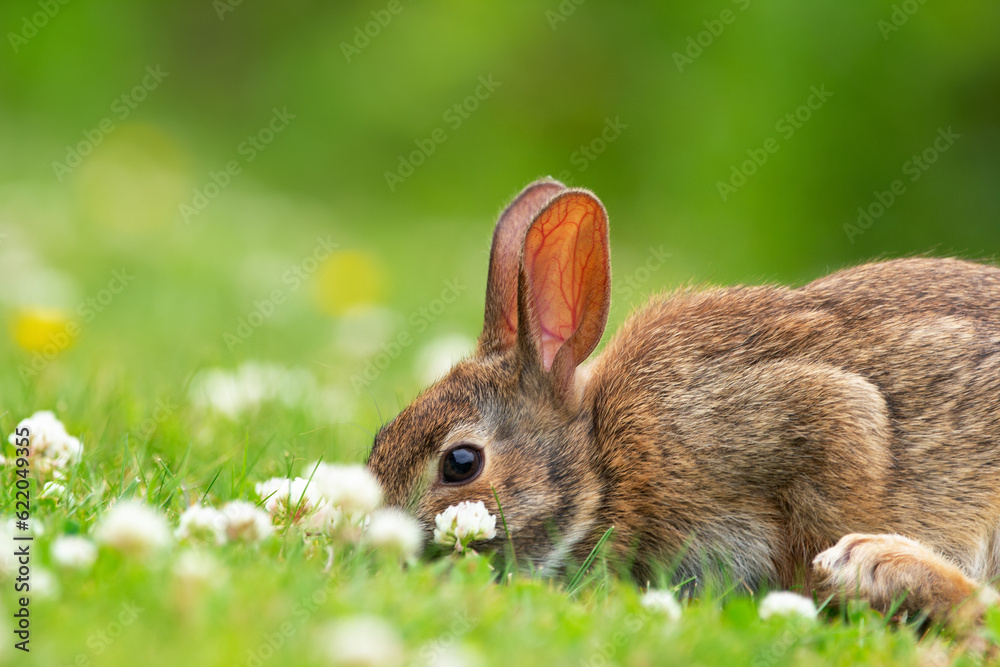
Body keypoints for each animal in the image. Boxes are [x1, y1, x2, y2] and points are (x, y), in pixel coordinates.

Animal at [366, 178, 1000, 623]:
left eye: (461, 463)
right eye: (378, 438)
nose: (378, 545)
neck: (606, 461)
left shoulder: (823, 418)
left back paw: (876, 564)